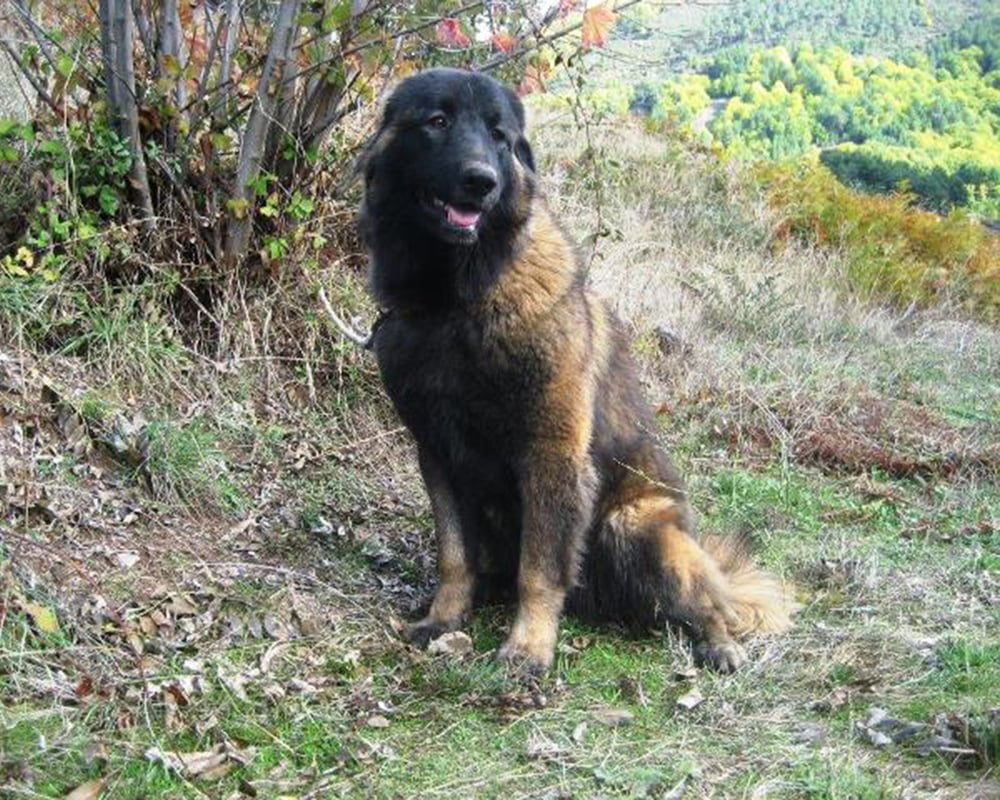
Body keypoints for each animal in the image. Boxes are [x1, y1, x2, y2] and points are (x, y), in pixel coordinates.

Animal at [364, 69, 792, 672]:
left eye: (499, 135)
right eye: (437, 121)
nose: (481, 182)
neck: (458, 301)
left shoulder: (552, 456)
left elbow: (540, 569)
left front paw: (528, 646)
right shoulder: (438, 455)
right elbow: (454, 555)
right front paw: (444, 619)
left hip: (634, 526)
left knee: (709, 602)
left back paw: (719, 643)